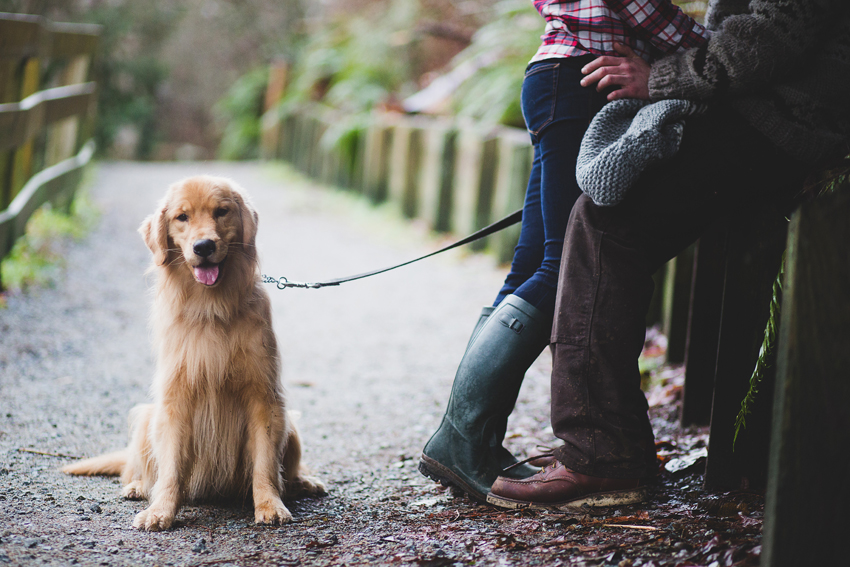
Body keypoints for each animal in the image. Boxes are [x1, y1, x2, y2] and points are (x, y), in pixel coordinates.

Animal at [62, 175, 322, 532]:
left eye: (221, 212)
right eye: (181, 217)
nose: (204, 247)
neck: (211, 308)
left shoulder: (264, 396)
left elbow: (265, 464)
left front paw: (269, 504)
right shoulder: (176, 398)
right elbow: (171, 468)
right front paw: (160, 511)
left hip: (291, 427)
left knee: (290, 467)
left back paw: (303, 482)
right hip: (148, 417)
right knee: (139, 468)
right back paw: (138, 486)